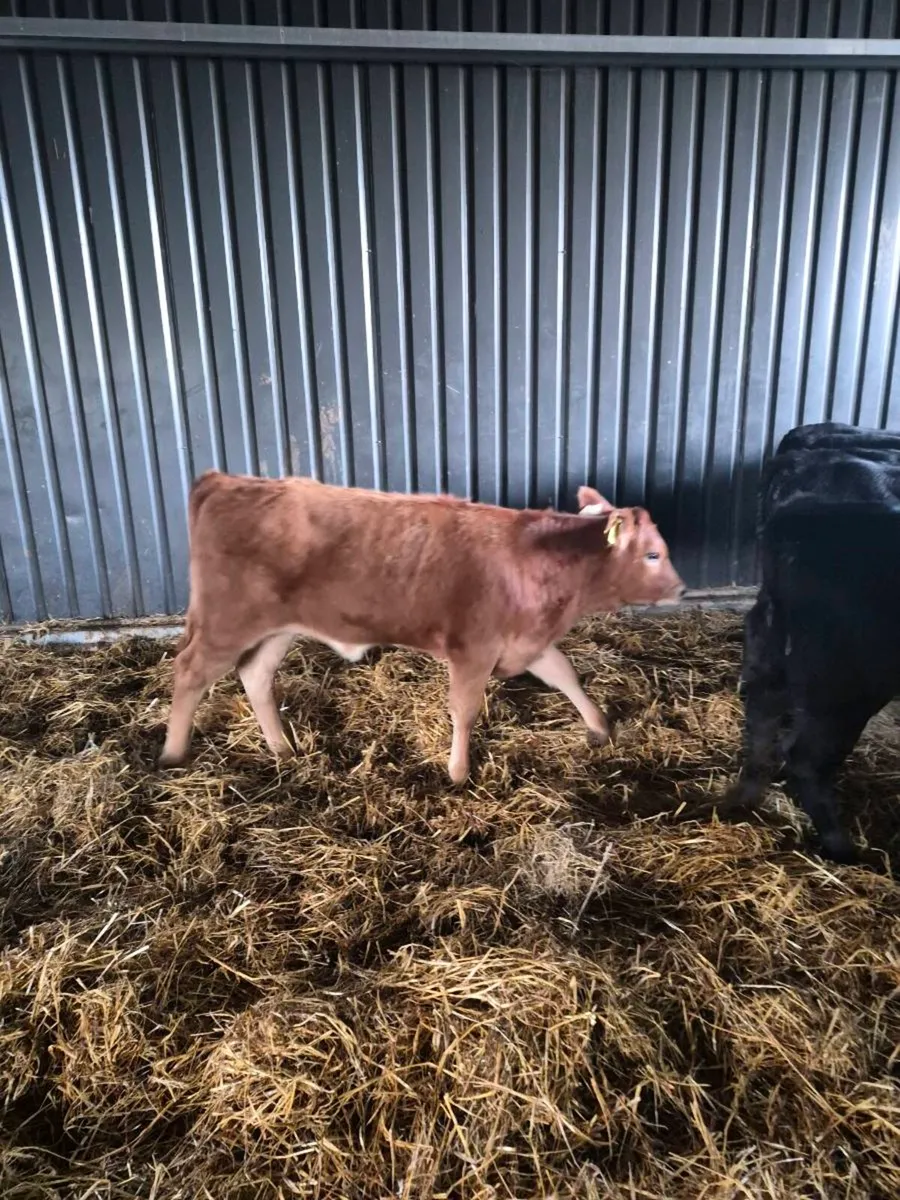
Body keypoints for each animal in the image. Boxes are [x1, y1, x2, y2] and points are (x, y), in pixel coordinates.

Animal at [159, 473, 685, 783]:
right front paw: (457, 772)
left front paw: (600, 727)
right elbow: (465, 711)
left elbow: (565, 675)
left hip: (277, 629)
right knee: (189, 672)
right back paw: (172, 755)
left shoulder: (527, 641)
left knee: (255, 676)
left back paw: (282, 750)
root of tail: (225, 480)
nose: (681, 589)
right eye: (652, 553)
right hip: (227, 621)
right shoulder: (473, 648)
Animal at [729, 421, 900, 863]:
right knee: (805, 760)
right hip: (848, 678)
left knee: (761, 708)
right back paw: (846, 851)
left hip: (773, 637)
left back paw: (745, 800)